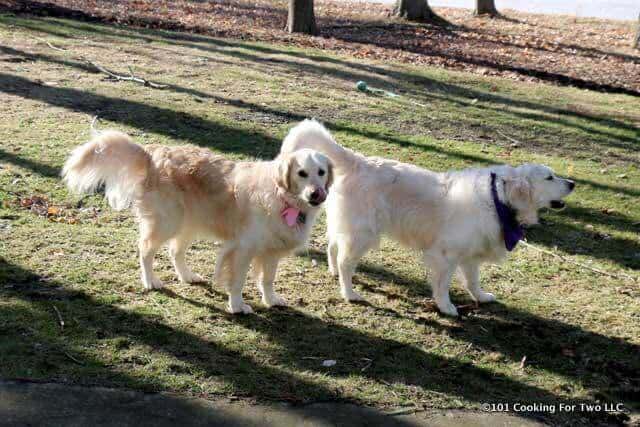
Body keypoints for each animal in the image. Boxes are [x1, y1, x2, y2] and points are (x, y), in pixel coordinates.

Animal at [62, 123, 332, 314]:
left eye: (321, 172)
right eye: (301, 173)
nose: (317, 194)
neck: (283, 197)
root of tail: (152, 155)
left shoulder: (271, 251)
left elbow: (267, 279)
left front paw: (271, 300)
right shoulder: (243, 248)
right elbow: (238, 280)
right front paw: (237, 306)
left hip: (189, 224)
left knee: (175, 251)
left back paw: (187, 276)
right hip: (167, 222)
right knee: (145, 250)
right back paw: (150, 281)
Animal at [280, 118, 576, 316]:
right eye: (550, 177)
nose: (573, 183)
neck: (498, 197)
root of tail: (359, 161)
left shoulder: (470, 255)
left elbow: (473, 279)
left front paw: (481, 296)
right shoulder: (446, 255)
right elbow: (443, 284)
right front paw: (446, 307)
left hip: (348, 227)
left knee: (332, 246)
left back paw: (333, 273)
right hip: (364, 235)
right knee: (344, 261)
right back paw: (349, 293)